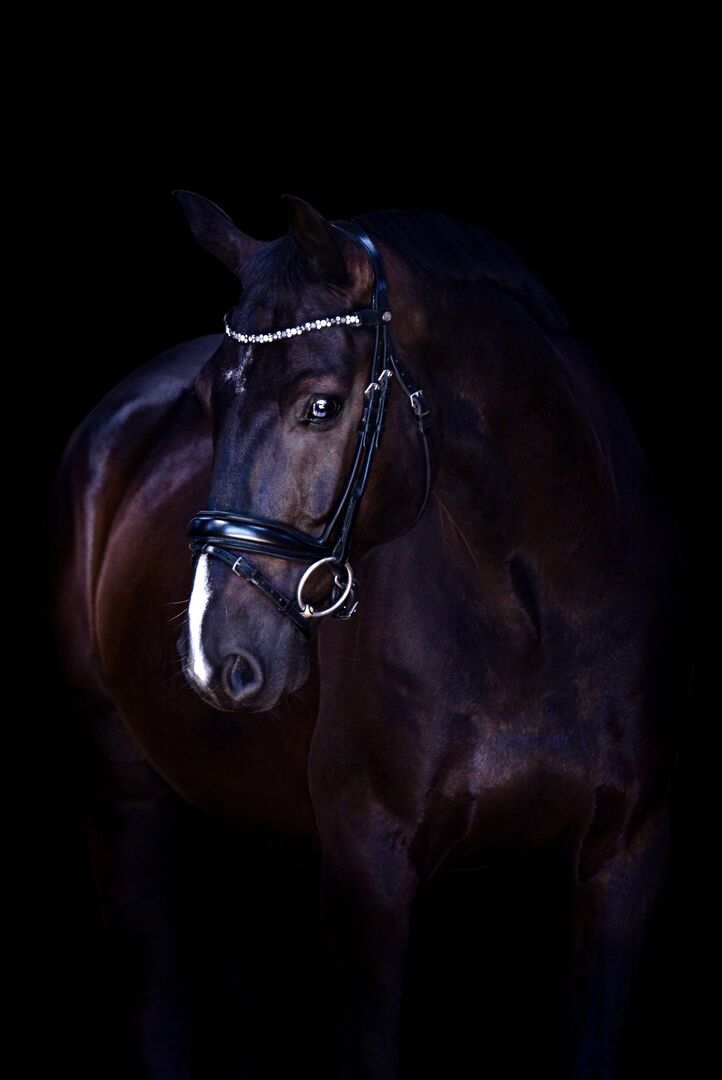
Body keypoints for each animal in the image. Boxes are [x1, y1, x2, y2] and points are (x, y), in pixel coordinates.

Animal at [52, 191, 693, 1079]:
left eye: (320, 405)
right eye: (209, 404)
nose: (216, 655)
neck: (539, 617)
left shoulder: (626, 862)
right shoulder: (368, 871)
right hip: (120, 788)